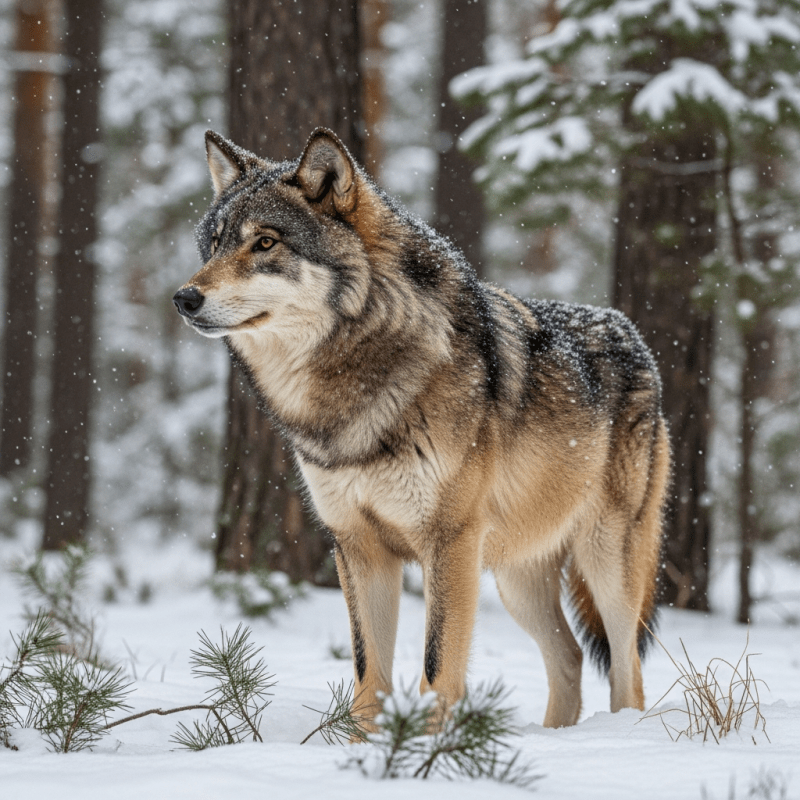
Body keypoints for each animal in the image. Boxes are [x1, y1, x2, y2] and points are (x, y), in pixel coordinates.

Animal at [173, 128, 670, 729]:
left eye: (265, 243)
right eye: (214, 244)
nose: (183, 298)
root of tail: (633, 335)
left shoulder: (449, 543)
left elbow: (437, 674)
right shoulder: (358, 548)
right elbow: (368, 677)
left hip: (606, 562)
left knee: (626, 670)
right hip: (515, 577)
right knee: (570, 658)